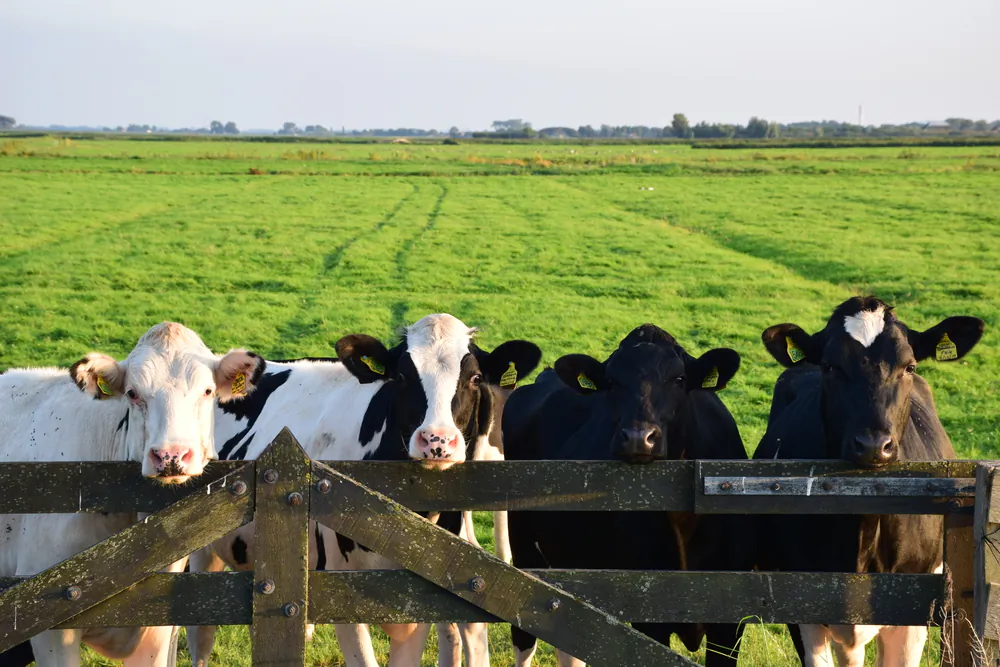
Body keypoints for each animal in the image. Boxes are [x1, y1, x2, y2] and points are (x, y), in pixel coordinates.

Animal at [503, 324, 752, 667]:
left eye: (679, 378)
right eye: (611, 382)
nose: (638, 437)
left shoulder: (730, 620)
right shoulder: (647, 613)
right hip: (524, 547)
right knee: (524, 637)